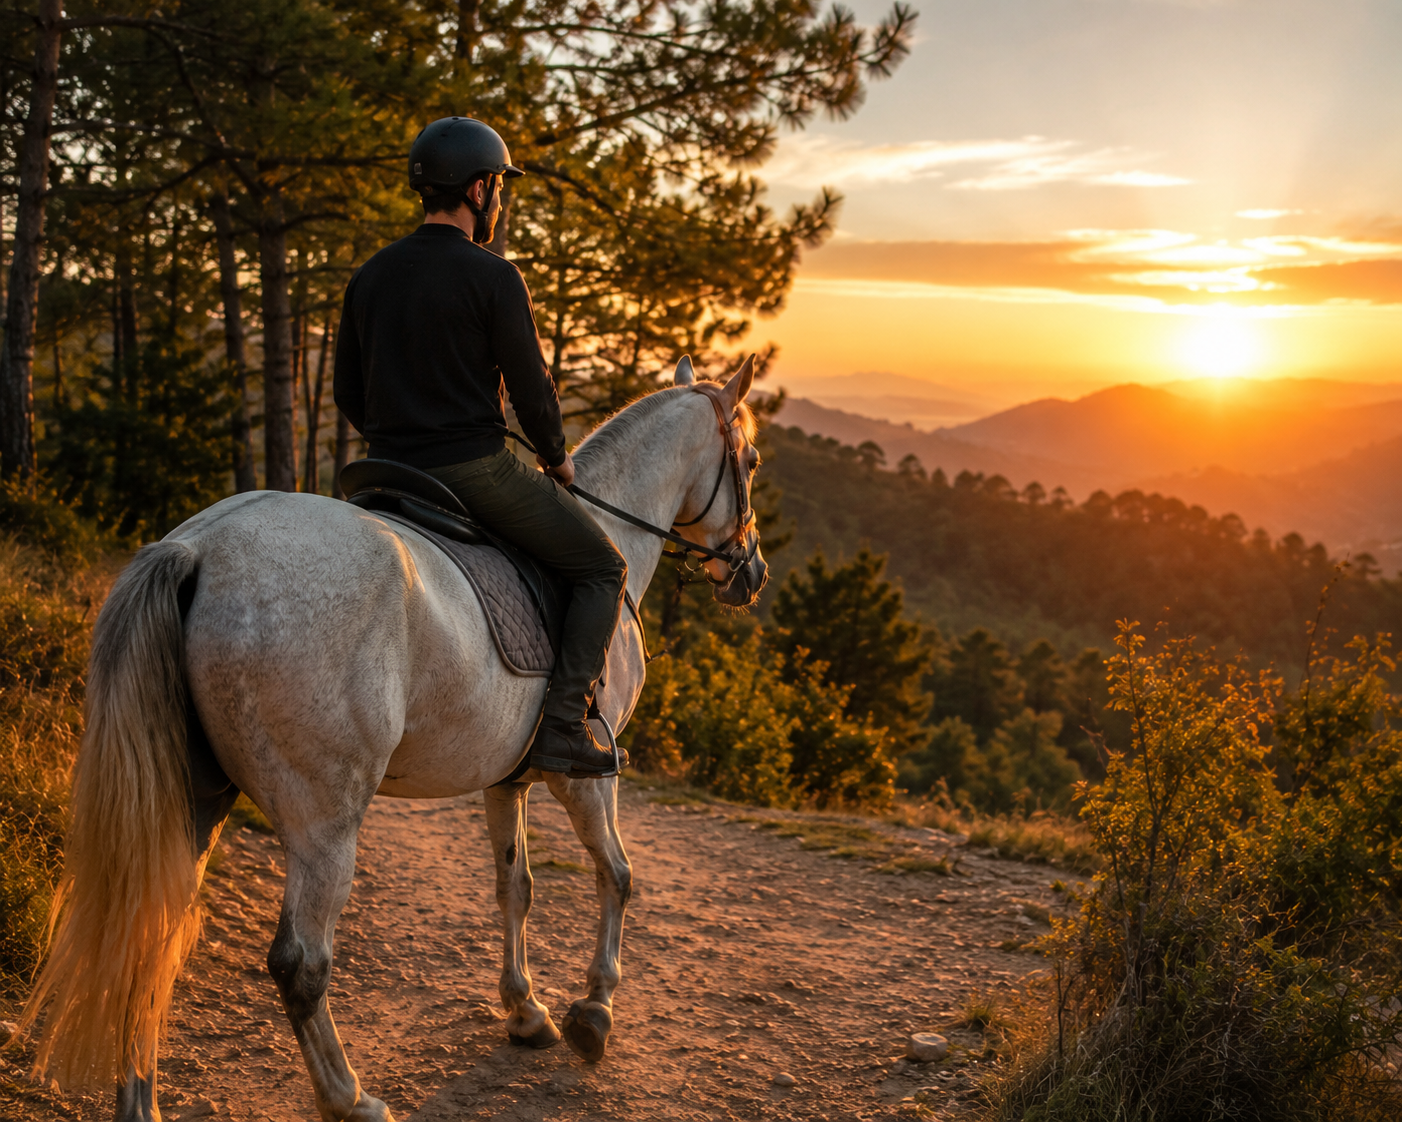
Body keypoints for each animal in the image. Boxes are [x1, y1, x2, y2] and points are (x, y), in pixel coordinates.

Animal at [16, 357, 767, 1122]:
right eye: (752, 462)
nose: (751, 573)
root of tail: (197, 547)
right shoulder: (586, 774)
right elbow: (617, 874)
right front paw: (594, 1011)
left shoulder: (508, 781)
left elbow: (515, 887)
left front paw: (526, 1012)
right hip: (324, 820)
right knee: (299, 961)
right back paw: (350, 1098)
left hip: (192, 799)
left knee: (148, 930)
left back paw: (143, 1102)